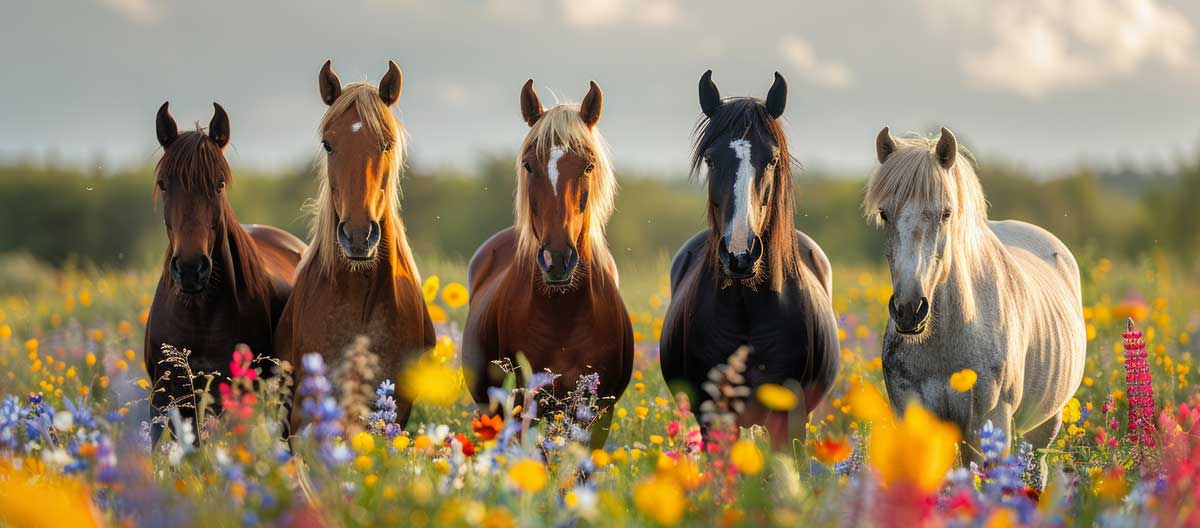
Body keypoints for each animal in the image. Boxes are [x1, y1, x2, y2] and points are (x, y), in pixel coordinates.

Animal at [460, 79, 638, 448]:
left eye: (588, 166)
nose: (557, 260)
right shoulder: (524, 404)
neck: (564, 315)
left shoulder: (597, 414)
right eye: (529, 165)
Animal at [657, 70, 844, 448]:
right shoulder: (713, 414)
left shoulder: (790, 417)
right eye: (711, 160)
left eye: (771, 159)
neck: (746, 310)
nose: (740, 254)